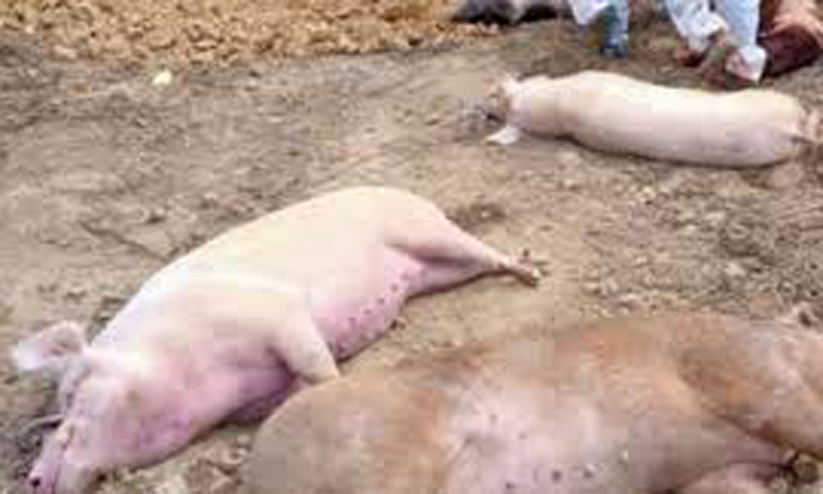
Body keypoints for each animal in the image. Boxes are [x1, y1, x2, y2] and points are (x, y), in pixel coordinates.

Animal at [9, 186, 541, 494]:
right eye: (53, 414)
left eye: (72, 393)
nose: (30, 479)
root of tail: (408, 191)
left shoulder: (279, 316)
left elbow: (315, 365)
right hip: (435, 272)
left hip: (426, 231)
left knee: (486, 251)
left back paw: (532, 273)